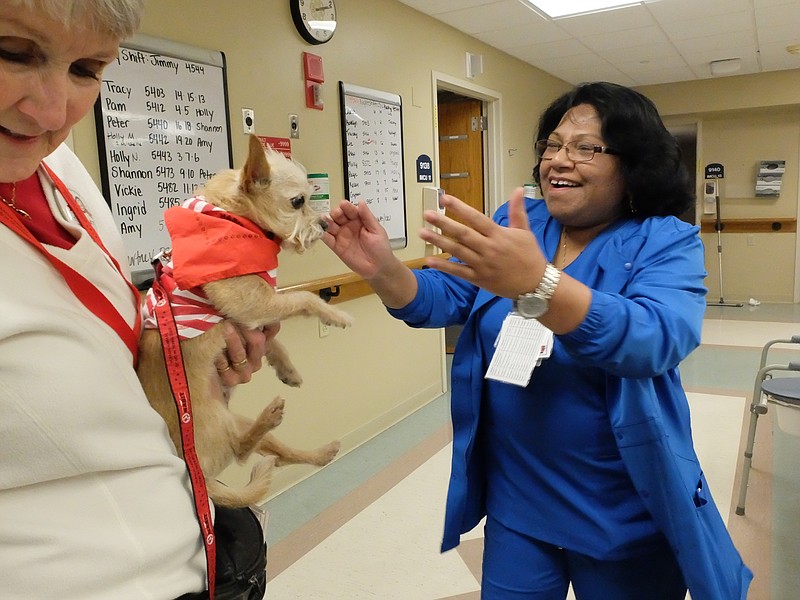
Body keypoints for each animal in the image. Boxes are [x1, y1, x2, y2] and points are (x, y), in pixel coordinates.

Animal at [139, 135, 352, 506]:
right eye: (298, 201)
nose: (325, 224)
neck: (235, 216)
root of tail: (200, 480)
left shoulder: (251, 316)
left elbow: (274, 340)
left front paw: (287, 369)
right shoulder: (253, 303)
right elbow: (305, 299)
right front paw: (336, 315)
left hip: (237, 419)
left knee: (278, 453)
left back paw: (321, 452)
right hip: (214, 423)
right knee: (240, 450)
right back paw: (270, 418)